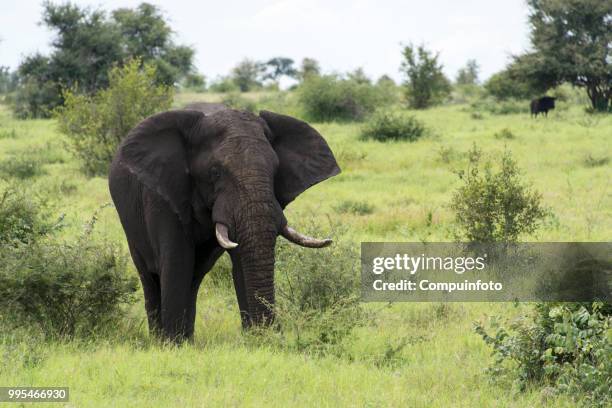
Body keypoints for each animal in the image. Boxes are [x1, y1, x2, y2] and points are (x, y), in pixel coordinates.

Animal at [109, 107, 340, 342]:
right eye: (215, 172)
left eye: (276, 171)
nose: (274, 333)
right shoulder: (164, 195)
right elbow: (177, 261)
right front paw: (172, 344)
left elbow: (241, 261)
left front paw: (257, 340)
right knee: (150, 276)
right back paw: (161, 339)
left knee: (195, 276)